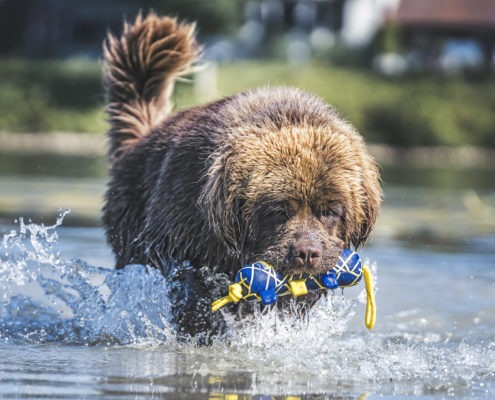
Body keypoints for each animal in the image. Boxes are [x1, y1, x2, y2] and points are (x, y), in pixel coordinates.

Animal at [102, 14, 382, 340]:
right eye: (278, 211)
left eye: (330, 211)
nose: (306, 253)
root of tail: (141, 139)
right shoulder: (182, 237)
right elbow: (192, 289)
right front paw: (206, 329)